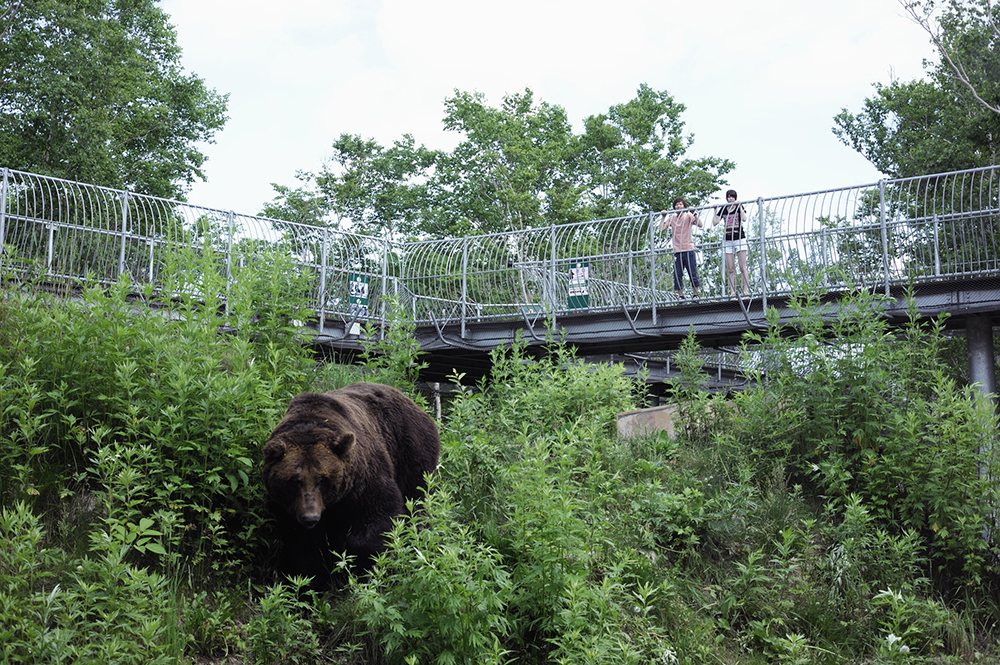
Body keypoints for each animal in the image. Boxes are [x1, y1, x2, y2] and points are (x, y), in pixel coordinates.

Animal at [264, 382, 440, 588]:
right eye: (295, 481)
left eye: (322, 479)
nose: (310, 517)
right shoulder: (286, 507)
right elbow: (302, 545)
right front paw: (312, 579)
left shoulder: (363, 480)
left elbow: (378, 514)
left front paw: (362, 564)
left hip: (410, 449)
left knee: (416, 499)